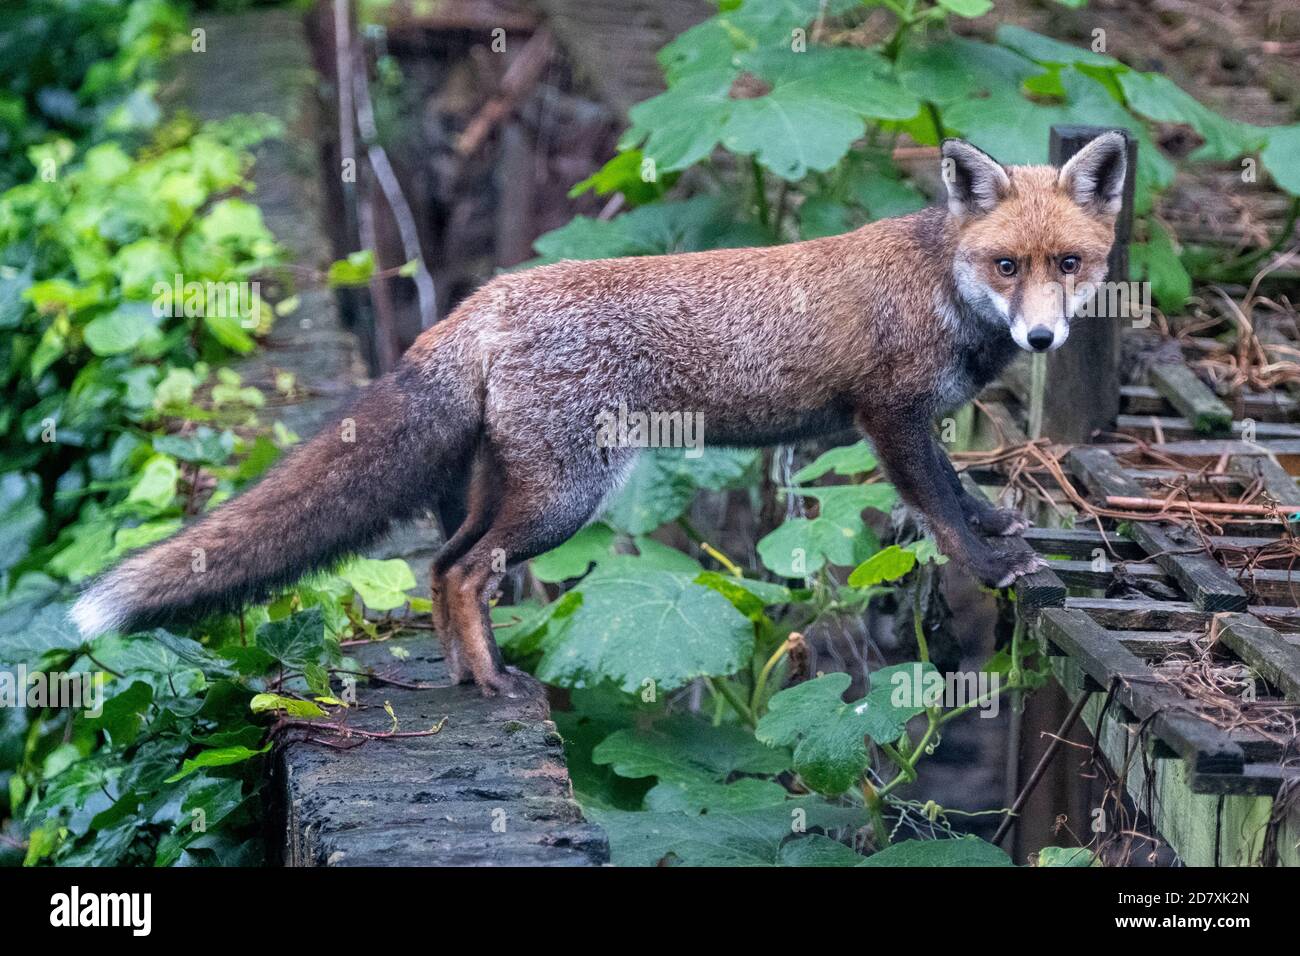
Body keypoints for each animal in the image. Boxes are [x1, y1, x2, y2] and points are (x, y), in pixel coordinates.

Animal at [70, 132, 1128, 696]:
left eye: (1069, 264)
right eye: (1006, 265)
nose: (1042, 339)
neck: (942, 285)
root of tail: (488, 296)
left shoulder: (919, 423)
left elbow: (962, 495)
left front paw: (1002, 529)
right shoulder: (891, 414)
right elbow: (941, 512)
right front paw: (991, 562)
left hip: (510, 487)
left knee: (442, 564)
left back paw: (472, 678)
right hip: (566, 496)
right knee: (464, 570)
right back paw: (493, 680)